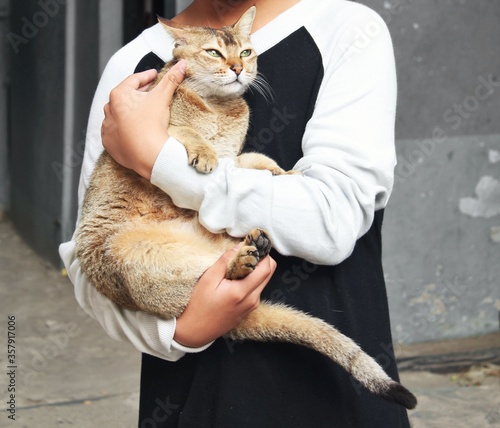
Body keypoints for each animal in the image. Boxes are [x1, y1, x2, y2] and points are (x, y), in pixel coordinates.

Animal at [74, 5, 416, 408]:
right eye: (214, 53)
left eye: (246, 52)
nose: (238, 68)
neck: (220, 108)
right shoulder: (159, 127)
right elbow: (188, 134)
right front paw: (204, 153)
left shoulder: (234, 156)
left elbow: (253, 158)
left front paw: (283, 171)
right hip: (135, 263)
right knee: (202, 281)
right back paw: (242, 261)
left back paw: (253, 247)